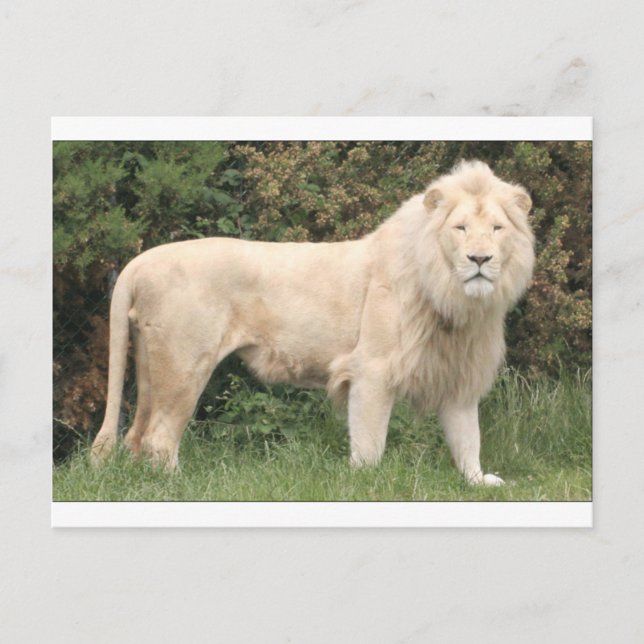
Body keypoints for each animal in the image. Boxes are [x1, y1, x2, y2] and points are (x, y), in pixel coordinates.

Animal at [91, 160, 535, 485]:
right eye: (461, 228)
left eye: (497, 228)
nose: (480, 259)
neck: (453, 298)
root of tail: (141, 260)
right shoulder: (372, 370)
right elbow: (370, 440)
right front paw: (367, 483)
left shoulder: (459, 374)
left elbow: (467, 437)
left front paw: (478, 482)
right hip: (185, 364)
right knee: (159, 437)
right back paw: (176, 484)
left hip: (150, 364)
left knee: (136, 435)